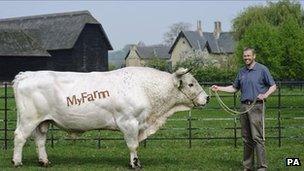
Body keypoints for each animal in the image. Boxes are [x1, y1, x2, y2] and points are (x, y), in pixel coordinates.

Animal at [11, 67, 209, 168]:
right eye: (191, 84)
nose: (207, 98)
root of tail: (27, 74)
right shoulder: (129, 122)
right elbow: (133, 145)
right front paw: (135, 163)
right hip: (29, 119)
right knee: (20, 137)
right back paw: (17, 161)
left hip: (43, 121)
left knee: (40, 140)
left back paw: (44, 161)